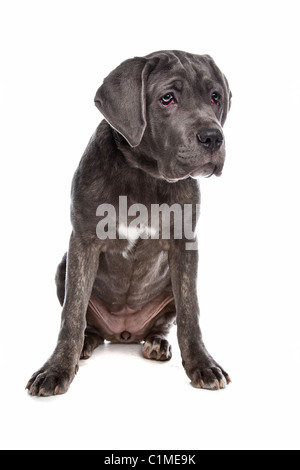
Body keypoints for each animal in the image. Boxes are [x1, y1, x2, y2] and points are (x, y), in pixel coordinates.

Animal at [25, 50, 232, 396]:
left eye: (215, 97)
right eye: (167, 99)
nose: (213, 137)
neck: (144, 173)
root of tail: (124, 333)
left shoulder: (185, 245)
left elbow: (190, 312)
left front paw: (203, 365)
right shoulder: (83, 241)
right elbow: (72, 314)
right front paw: (56, 369)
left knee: (164, 322)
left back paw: (157, 343)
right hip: (62, 268)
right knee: (87, 323)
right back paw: (86, 344)